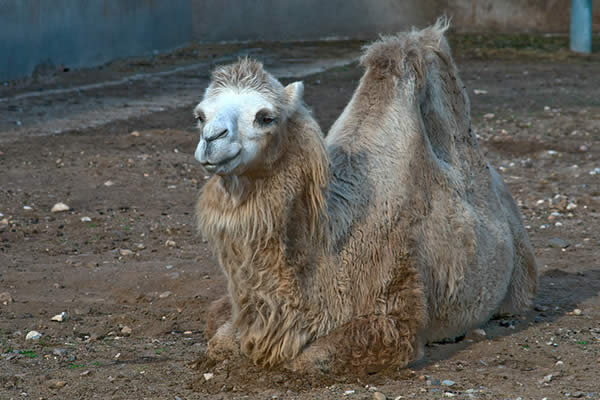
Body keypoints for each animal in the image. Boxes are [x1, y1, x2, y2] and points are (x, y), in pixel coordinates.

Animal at [193, 20, 540, 374]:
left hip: (519, 278)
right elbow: (216, 335)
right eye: (200, 116)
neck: (329, 238)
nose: (211, 139)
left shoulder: (393, 313)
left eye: (266, 117)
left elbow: (309, 360)